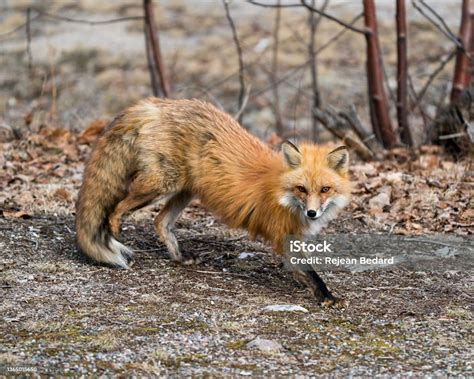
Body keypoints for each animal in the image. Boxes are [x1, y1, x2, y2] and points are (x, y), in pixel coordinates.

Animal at [77, 98, 352, 306]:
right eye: (301, 189)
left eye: (325, 189)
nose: (312, 214)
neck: (283, 195)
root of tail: (154, 104)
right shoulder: (282, 234)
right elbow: (311, 273)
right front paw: (326, 296)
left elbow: (301, 270)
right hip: (161, 184)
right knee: (116, 208)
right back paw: (114, 230)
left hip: (185, 191)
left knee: (160, 222)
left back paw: (180, 257)